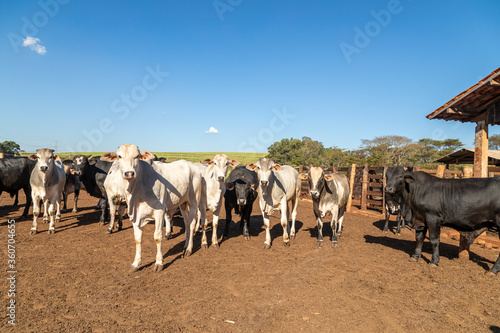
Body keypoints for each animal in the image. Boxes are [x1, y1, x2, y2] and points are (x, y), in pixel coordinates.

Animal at [100, 144, 202, 272]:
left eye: (137, 156)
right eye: (119, 156)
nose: (129, 173)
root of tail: (192, 165)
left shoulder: (159, 212)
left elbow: (157, 237)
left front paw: (159, 263)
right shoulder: (135, 214)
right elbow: (137, 238)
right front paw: (136, 263)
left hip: (193, 201)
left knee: (192, 224)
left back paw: (189, 249)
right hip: (183, 203)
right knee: (187, 224)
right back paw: (185, 246)